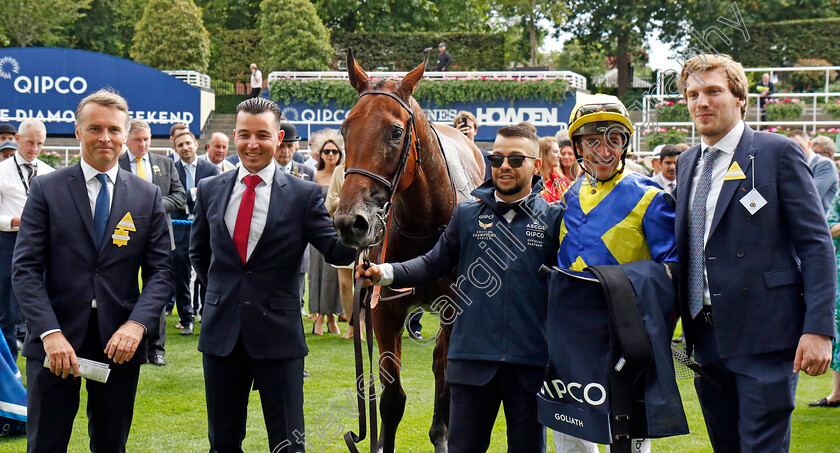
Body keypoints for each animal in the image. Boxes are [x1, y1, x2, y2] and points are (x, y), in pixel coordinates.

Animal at [332, 53, 482, 452]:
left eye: (396, 132)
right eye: (345, 128)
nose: (350, 222)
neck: (425, 225)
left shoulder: (455, 310)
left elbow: (445, 379)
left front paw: (443, 435)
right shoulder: (384, 309)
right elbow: (391, 398)